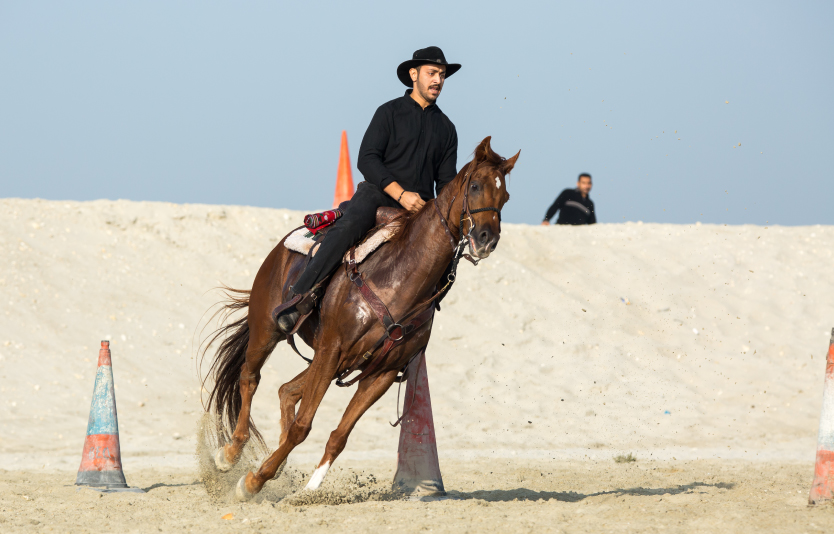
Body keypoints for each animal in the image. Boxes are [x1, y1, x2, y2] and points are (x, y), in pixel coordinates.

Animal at [202, 136, 519, 500]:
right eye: (476, 186)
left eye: (505, 197)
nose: (486, 240)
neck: (398, 277)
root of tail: (281, 248)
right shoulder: (331, 350)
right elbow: (302, 426)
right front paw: (252, 482)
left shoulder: (381, 373)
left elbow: (339, 436)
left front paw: (308, 489)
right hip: (269, 331)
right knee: (250, 378)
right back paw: (229, 454)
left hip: (337, 363)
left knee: (286, 391)